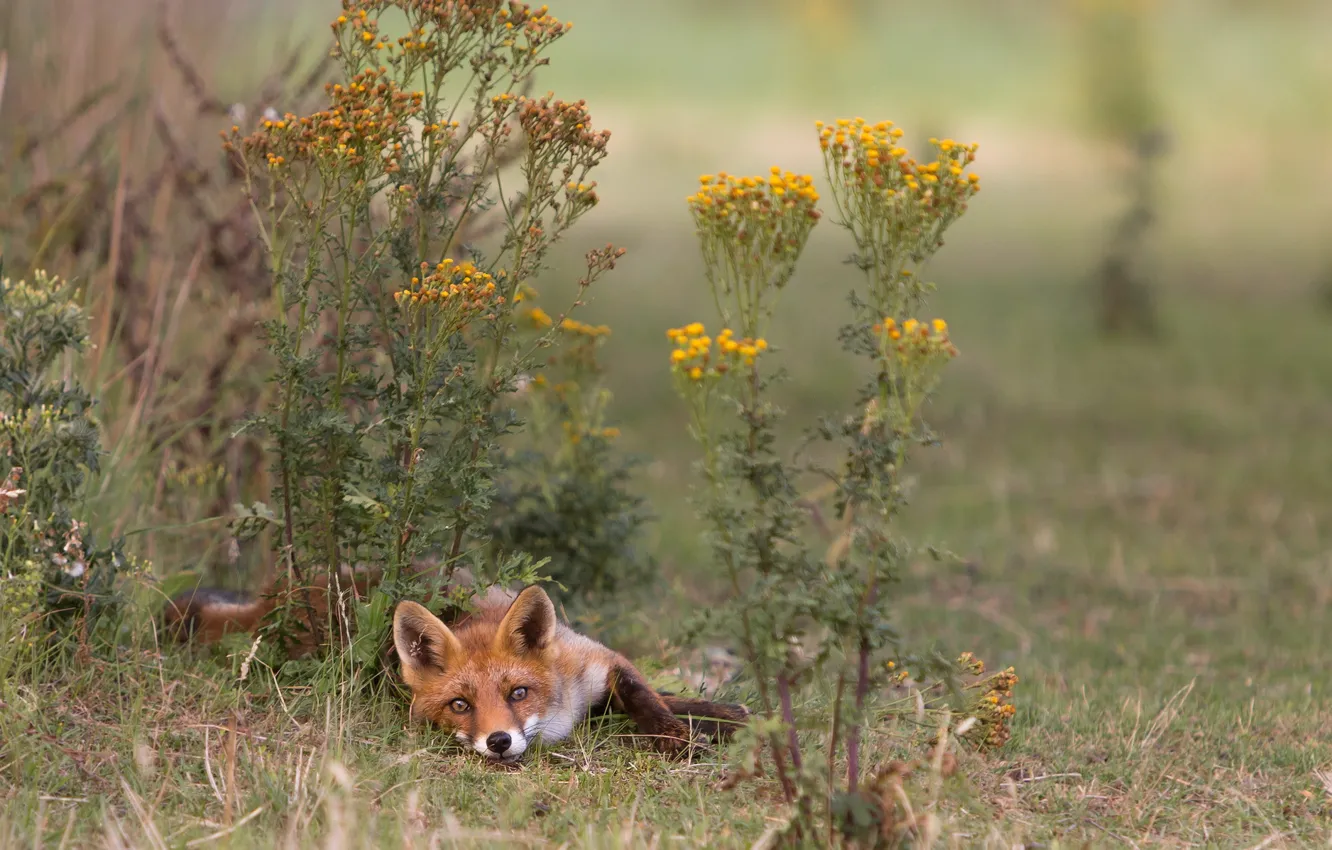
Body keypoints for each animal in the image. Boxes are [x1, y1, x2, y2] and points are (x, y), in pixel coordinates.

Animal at [162, 573, 750, 761]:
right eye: (460, 705)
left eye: (517, 693)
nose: (499, 742)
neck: (560, 714)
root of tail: (282, 593)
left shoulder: (597, 660)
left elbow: (650, 696)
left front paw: (700, 724)